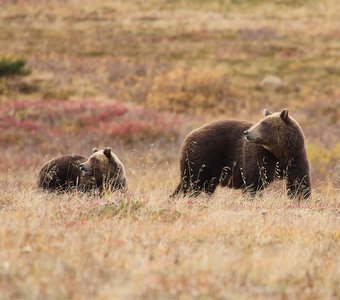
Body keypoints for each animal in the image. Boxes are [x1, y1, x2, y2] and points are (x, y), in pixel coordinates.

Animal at [171, 108, 312, 199]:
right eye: (261, 121)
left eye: (264, 123)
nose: (247, 133)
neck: (280, 152)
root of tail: (189, 136)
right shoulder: (260, 156)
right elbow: (253, 181)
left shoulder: (295, 156)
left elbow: (299, 182)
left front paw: (301, 198)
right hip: (203, 158)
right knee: (191, 183)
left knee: (203, 186)